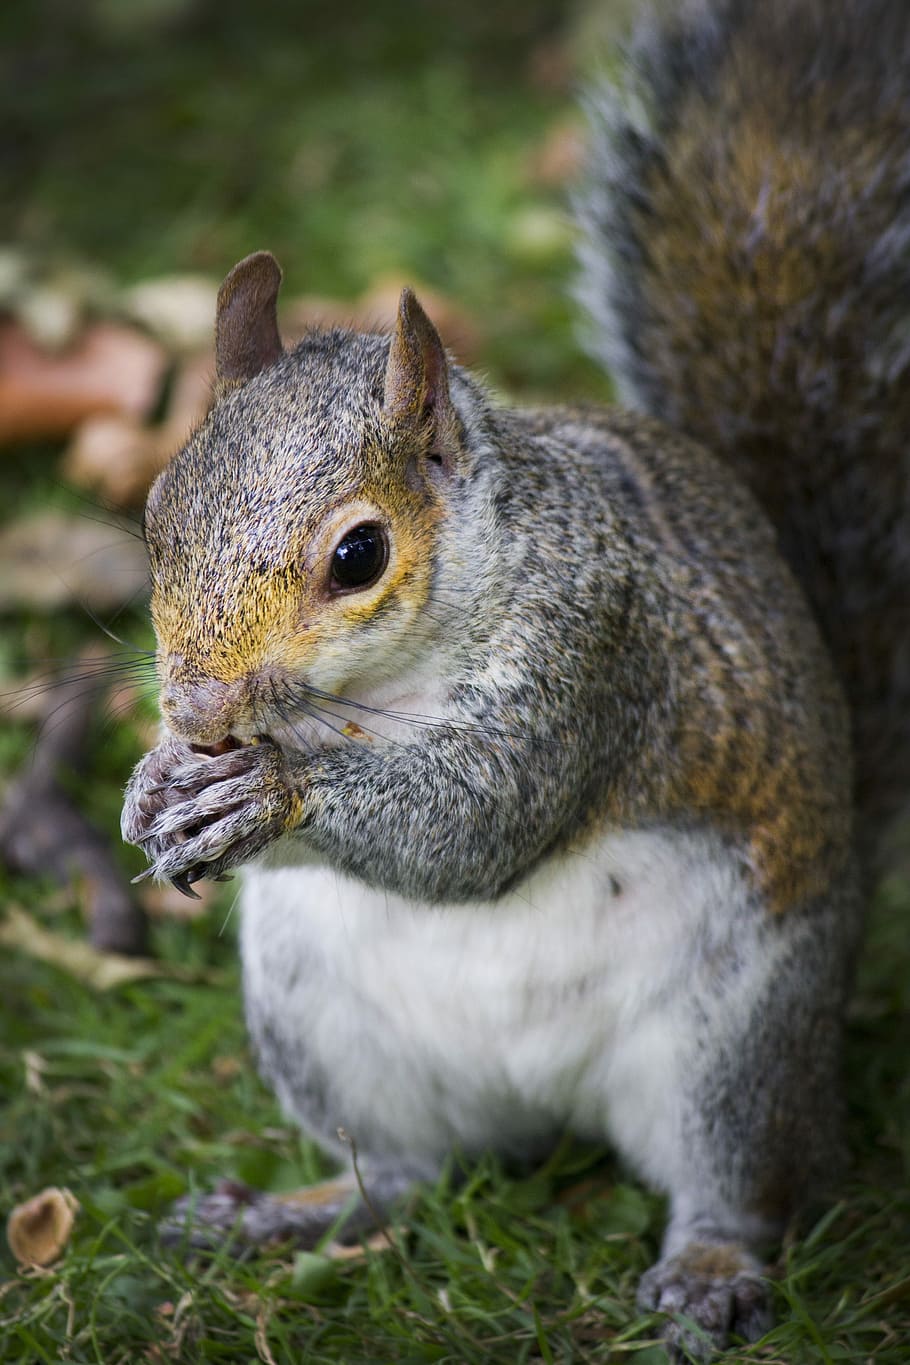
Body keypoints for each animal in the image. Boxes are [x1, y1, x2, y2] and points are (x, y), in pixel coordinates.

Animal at [121, 0, 909, 1356]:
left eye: (359, 555)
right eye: (157, 517)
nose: (202, 710)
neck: (379, 693)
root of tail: (548, 1099)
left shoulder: (595, 647)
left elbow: (482, 821)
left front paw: (268, 794)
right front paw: (155, 783)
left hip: (737, 1043)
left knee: (741, 1184)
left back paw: (708, 1271)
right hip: (320, 1018)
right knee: (401, 1171)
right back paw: (281, 1212)